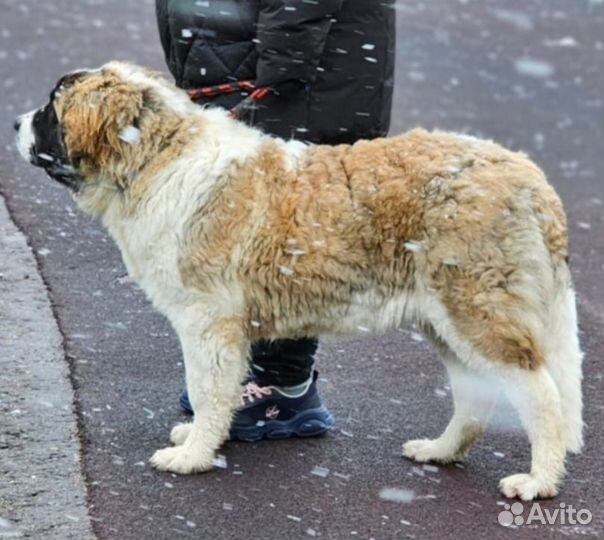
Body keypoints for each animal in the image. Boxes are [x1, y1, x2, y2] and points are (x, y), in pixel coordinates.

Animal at [14, 61, 584, 500]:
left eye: (50, 109)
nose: (16, 121)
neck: (156, 157)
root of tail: (530, 177)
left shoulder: (207, 323)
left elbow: (206, 389)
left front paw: (193, 454)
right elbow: (217, 391)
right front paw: (201, 438)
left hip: (476, 310)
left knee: (541, 393)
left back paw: (538, 481)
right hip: (445, 320)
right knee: (475, 396)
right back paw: (440, 451)